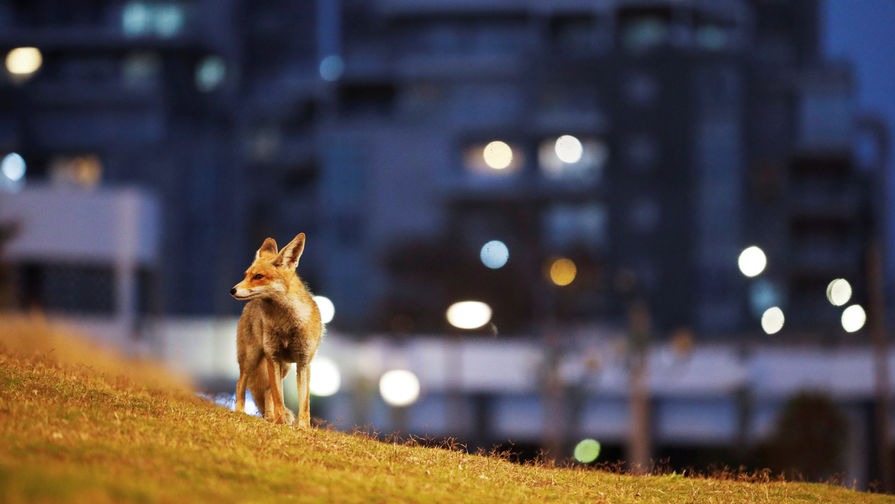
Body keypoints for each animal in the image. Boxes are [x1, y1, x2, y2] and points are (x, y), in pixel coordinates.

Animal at [229, 232, 324, 426]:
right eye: (246, 275)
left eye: (258, 276)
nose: (232, 290)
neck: (287, 324)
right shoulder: (273, 357)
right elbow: (279, 398)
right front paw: (281, 424)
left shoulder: (303, 362)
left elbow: (304, 404)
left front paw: (303, 428)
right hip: (251, 358)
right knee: (241, 383)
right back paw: (241, 411)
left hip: (284, 367)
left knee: (267, 390)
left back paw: (270, 418)